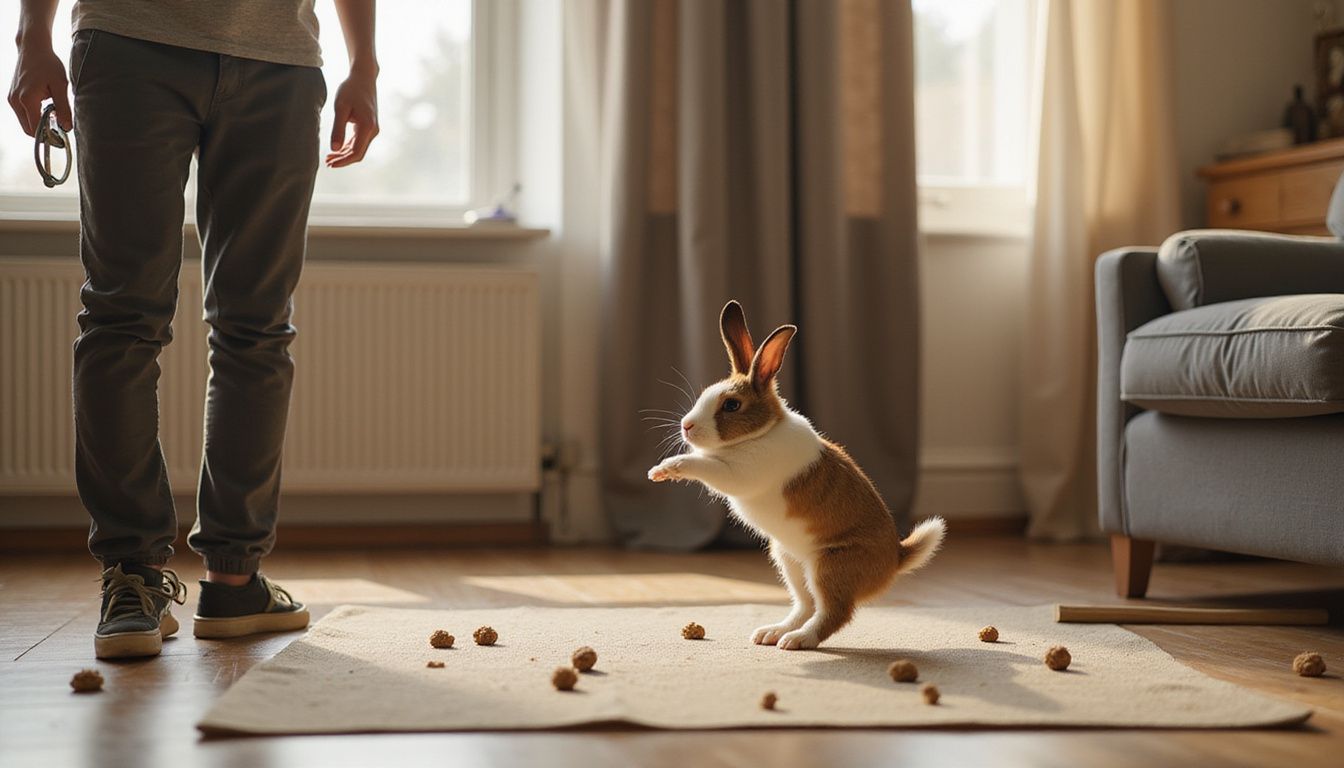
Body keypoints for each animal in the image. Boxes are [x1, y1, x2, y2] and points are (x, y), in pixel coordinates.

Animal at [648, 300, 945, 650]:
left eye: (732, 405)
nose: (686, 426)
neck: (761, 434)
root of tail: (895, 559)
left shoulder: (738, 474)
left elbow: (704, 465)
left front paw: (665, 469)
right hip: (788, 560)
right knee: (806, 605)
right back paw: (772, 633)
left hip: (829, 567)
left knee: (833, 614)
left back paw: (797, 640)